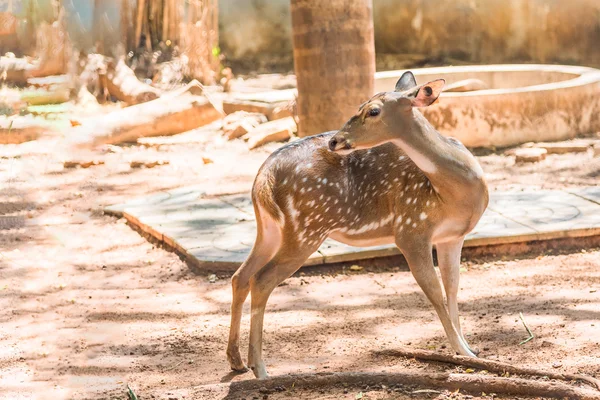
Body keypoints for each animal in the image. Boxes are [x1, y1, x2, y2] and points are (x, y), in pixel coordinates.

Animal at [227, 72, 490, 378]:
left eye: (373, 110)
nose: (335, 141)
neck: (455, 194)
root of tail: (263, 177)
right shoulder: (410, 230)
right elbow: (434, 290)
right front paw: (462, 351)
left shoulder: (453, 236)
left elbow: (453, 286)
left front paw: (468, 349)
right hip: (307, 228)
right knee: (261, 280)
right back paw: (260, 368)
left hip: (269, 228)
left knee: (241, 276)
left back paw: (237, 360)